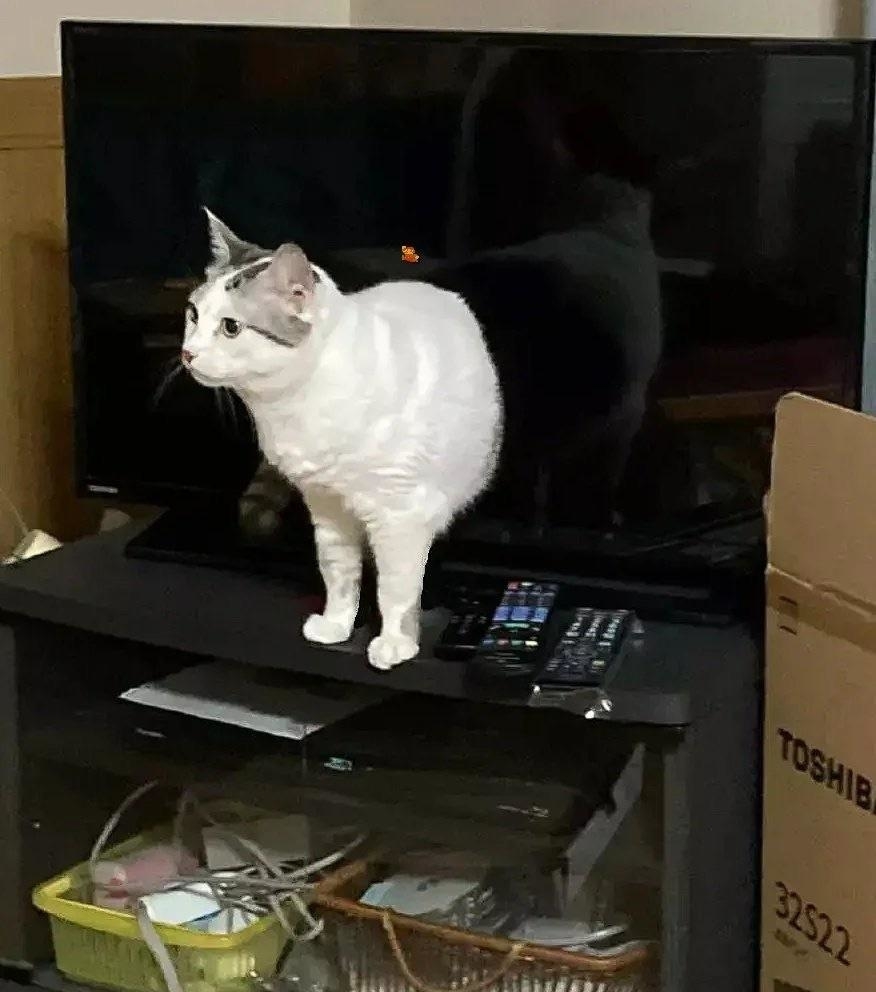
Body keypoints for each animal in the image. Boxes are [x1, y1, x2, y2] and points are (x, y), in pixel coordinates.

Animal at [181, 213, 504, 672]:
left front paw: (395, 642)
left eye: (231, 327)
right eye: (193, 313)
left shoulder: (401, 516)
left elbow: (396, 589)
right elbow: (338, 573)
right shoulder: (326, 506)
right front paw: (337, 625)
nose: (187, 354)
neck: (296, 404)